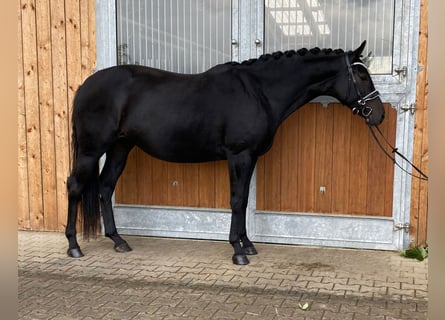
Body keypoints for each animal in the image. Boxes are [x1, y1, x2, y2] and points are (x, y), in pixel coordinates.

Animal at [67, 41, 386, 264]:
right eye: (361, 75)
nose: (379, 114)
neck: (259, 91)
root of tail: (85, 86)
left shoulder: (250, 156)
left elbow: (242, 200)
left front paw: (247, 245)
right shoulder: (239, 155)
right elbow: (236, 200)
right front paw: (237, 251)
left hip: (121, 147)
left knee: (105, 187)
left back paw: (118, 241)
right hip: (91, 150)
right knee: (75, 187)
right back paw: (74, 246)